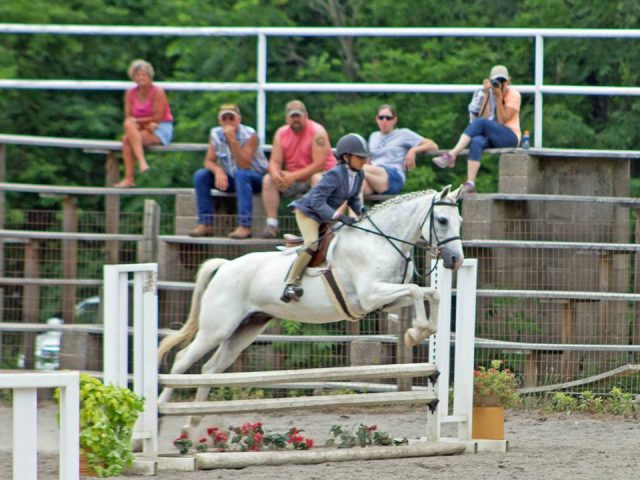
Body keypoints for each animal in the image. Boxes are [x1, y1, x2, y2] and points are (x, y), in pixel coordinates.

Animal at [158, 186, 462, 406]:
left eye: (459, 220)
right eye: (442, 220)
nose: (456, 260)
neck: (380, 241)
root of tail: (225, 265)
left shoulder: (385, 300)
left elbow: (429, 293)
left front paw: (420, 332)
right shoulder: (370, 295)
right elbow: (417, 290)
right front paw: (416, 332)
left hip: (244, 330)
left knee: (210, 369)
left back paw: (193, 425)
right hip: (217, 328)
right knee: (183, 359)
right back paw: (158, 419)